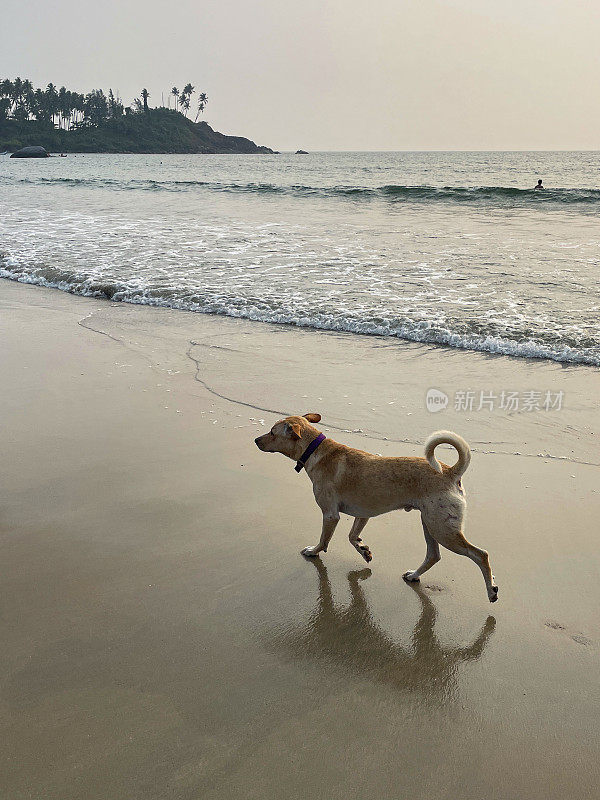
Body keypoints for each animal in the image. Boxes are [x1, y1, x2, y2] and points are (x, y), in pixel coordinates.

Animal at [253, 416, 496, 604]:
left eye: (272, 432)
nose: (255, 440)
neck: (316, 451)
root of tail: (450, 472)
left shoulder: (330, 514)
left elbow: (324, 539)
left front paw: (314, 551)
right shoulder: (363, 513)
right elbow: (352, 536)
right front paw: (363, 550)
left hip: (442, 529)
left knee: (480, 554)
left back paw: (491, 590)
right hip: (430, 523)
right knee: (433, 555)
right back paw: (414, 575)